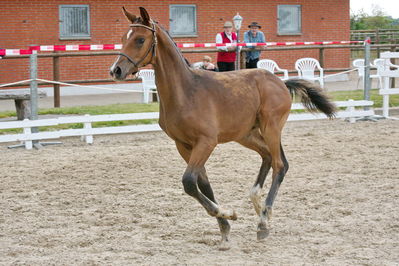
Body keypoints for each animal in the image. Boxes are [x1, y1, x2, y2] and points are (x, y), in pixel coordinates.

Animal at [110, 7, 338, 250]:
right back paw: (258, 204)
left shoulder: (206, 142)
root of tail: (281, 83)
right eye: (123, 38)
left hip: (271, 127)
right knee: (268, 156)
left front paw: (229, 213)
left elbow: (189, 182)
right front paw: (225, 230)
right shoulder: (183, 145)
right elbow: (202, 184)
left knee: (279, 165)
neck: (185, 92)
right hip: (247, 134)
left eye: (140, 39)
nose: (116, 70)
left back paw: (263, 221)